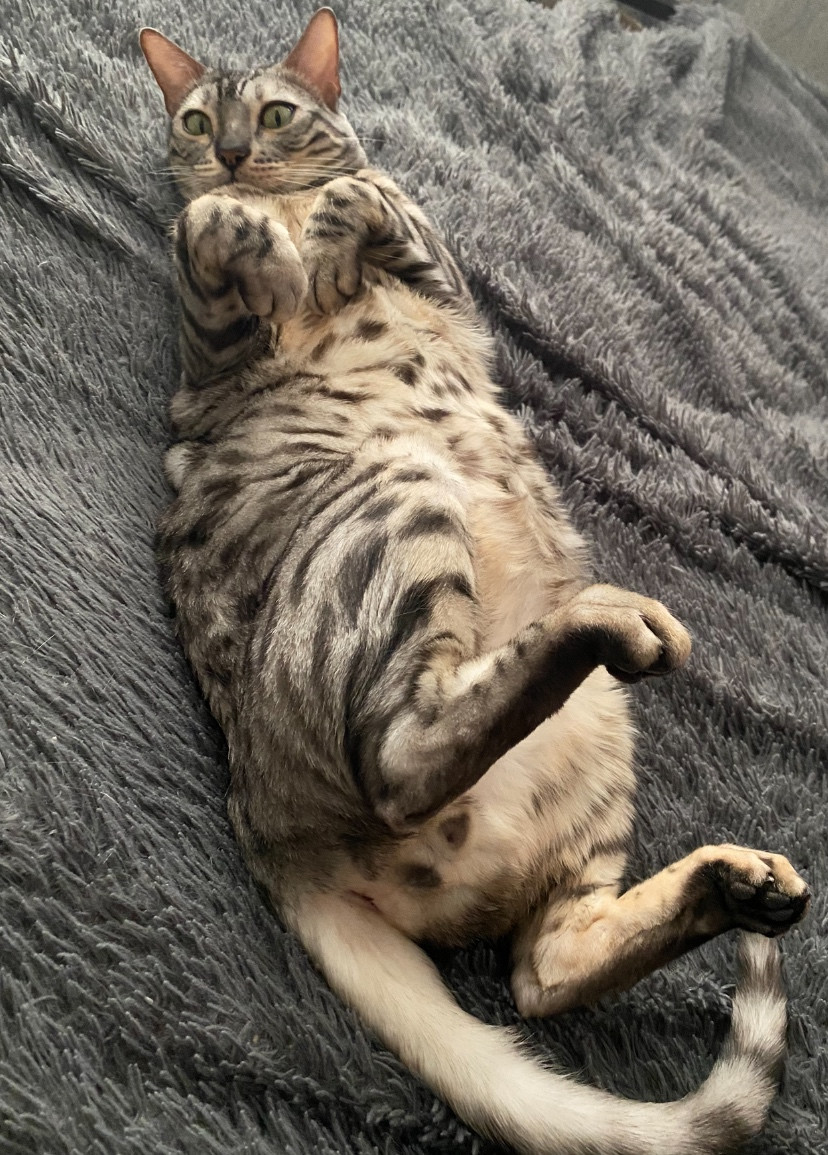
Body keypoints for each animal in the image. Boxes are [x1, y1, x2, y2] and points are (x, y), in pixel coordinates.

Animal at [141, 10, 809, 1153]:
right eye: (195, 121)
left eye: (271, 113)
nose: (228, 154)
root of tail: (266, 824)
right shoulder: (213, 367)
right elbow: (212, 245)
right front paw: (248, 228)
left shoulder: (441, 274)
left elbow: (376, 200)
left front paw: (318, 226)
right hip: (409, 497)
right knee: (412, 773)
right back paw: (603, 630)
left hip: (596, 749)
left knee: (544, 965)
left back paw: (737, 884)